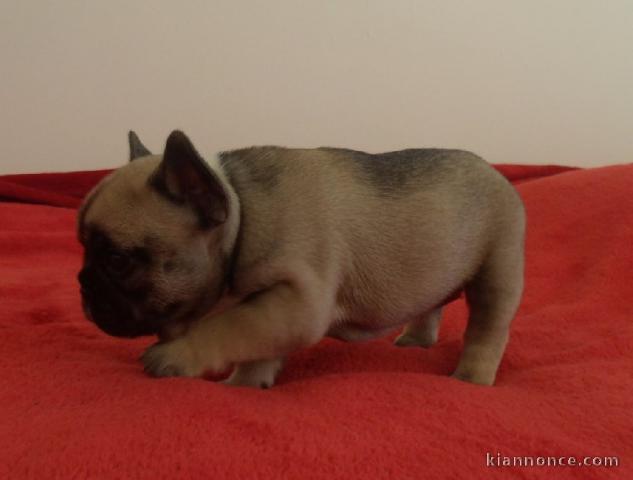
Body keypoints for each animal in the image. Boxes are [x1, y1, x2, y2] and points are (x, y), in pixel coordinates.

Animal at [78, 129, 524, 388]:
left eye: (117, 261)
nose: (81, 283)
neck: (243, 214)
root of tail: (495, 172)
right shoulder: (275, 312)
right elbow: (254, 344)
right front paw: (246, 385)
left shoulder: (296, 301)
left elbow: (226, 326)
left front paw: (176, 356)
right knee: (431, 304)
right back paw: (415, 339)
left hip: (498, 271)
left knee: (488, 329)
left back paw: (471, 377)